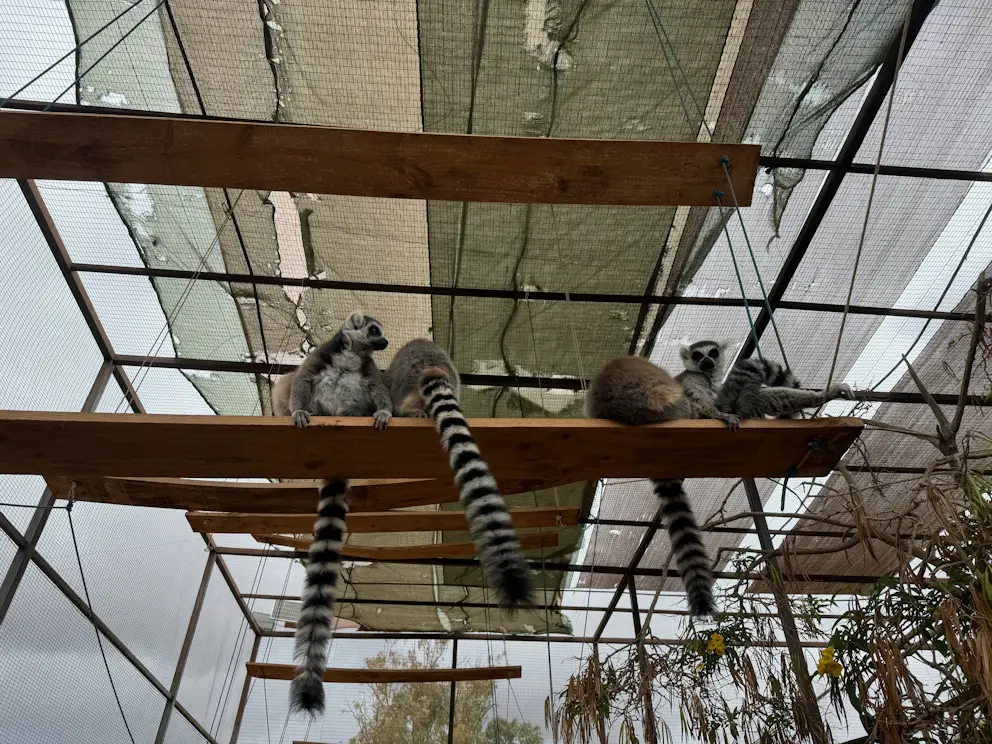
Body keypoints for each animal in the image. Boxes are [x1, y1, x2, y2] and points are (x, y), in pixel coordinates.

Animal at [271, 310, 392, 716]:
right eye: (375, 330)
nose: (386, 342)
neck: (351, 357)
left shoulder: (370, 374)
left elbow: (379, 391)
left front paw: (384, 413)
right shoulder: (319, 359)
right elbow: (300, 380)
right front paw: (298, 412)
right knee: (287, 382)